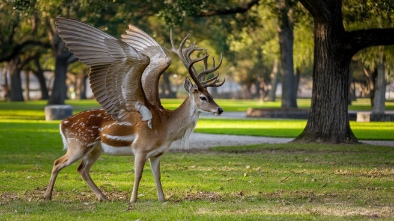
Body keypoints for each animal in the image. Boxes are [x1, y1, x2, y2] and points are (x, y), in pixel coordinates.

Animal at [43, 17, 225, 209]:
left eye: (211, 95)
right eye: (204, 97)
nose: (220, 109)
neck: (166, 128)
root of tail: (62, 124)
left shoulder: (157, 153)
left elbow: (157, 175)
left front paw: (162, 199)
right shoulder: (141, 148)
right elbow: (138, 174)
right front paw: (133, 200)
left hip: (95, 148)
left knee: (82, 169)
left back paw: (103, 197)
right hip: (78, 143)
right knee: (58, 162)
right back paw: (48, 196)